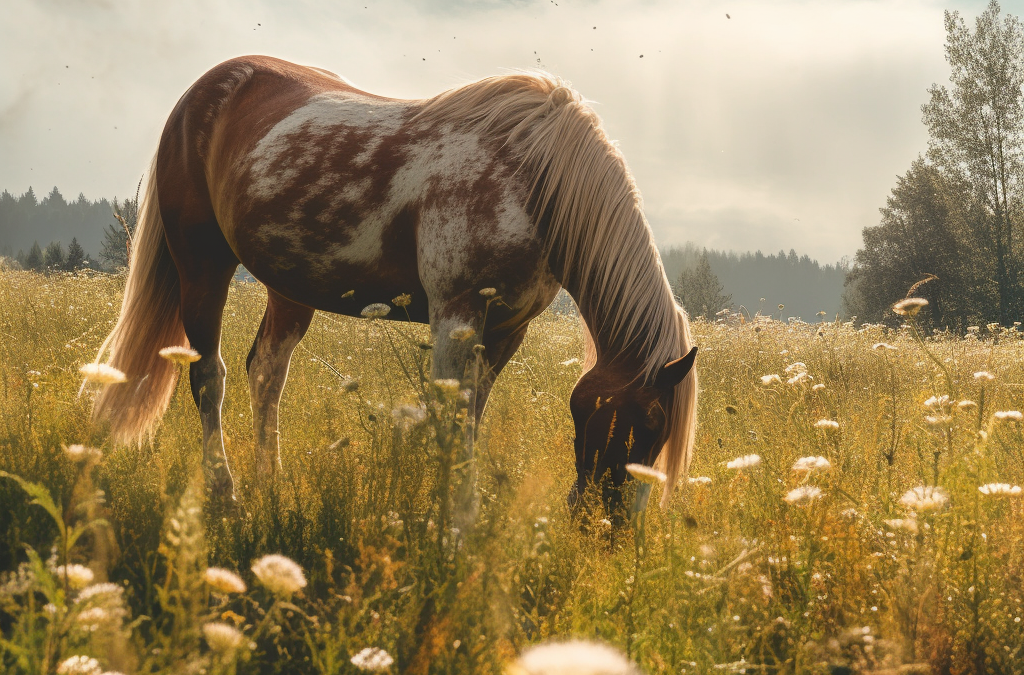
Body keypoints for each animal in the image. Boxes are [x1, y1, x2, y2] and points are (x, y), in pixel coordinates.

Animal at [90, 55, 696, 514]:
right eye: (645, 422)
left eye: (660, 430)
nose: (609, 530)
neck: (534, 178)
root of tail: (201, 92)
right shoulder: (455, 316)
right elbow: (450, 420)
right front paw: (454, 528)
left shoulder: (506, 331)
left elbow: (470, 420)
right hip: (202, 265)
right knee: (207, 377)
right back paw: (226, 494)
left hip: (289, 288)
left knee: (265, 373)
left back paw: (271, 484)